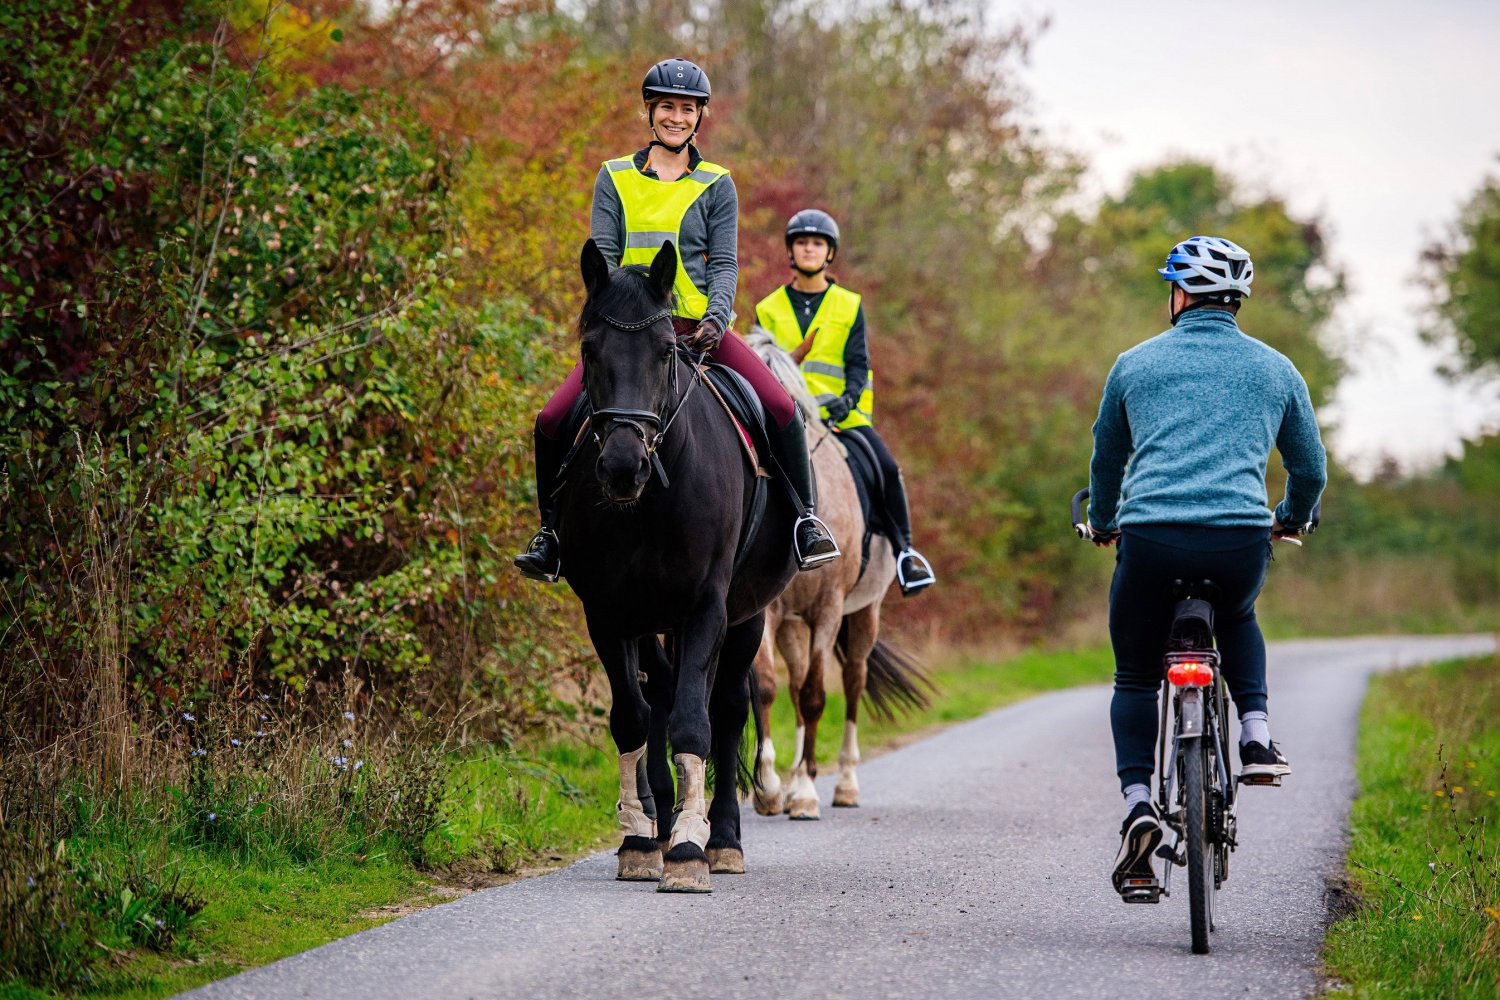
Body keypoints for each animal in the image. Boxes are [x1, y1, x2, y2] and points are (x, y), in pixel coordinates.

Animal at [558, 239, 804, 893]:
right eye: (589, 350)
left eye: (665, 350)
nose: (623, 466)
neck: (649, 502)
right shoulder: (609, 612)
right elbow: (633, 718)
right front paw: (641, 841)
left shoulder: (705, 608)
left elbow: (697, 722)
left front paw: (691, 853)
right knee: (661, 698)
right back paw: (665, 825)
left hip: (746, 615)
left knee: (728, 707)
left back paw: (721, 840)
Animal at [744, 328, 930, 821]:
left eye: (787, 405)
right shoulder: (770, 611)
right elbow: (768, 687)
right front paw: (770, 788)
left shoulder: (829, 608)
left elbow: (816, 695)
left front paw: (808, 794)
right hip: (794, 624)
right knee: (796, 686)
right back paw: (794, 780)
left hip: (864, 613)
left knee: (851, 682)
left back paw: (844, 783)